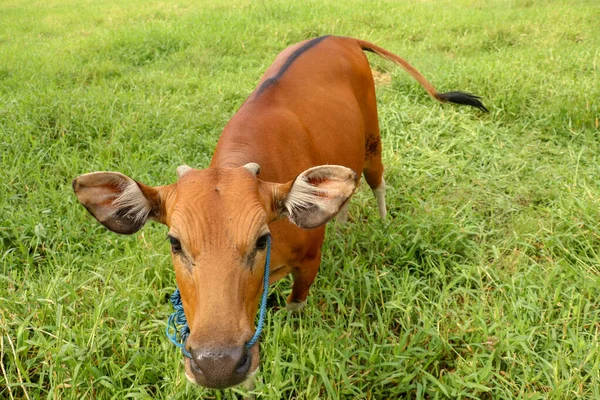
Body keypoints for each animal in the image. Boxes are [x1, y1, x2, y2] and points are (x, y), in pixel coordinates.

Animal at [72, 36, 488, 390]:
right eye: (175, 243)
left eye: (261, 240)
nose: (217, 365)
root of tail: (341, 37)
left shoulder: (309, 261)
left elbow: (295, 305)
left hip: (373, 138)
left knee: (376, 181)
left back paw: (384, 226)